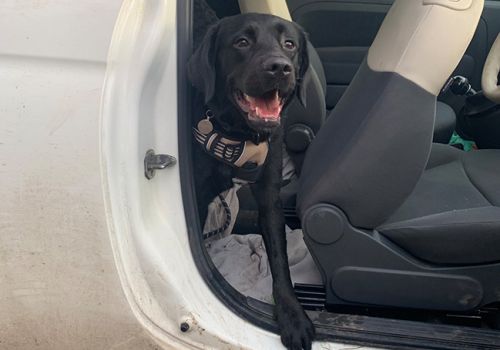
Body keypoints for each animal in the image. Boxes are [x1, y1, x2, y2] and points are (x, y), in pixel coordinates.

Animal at [189, 13, 314, 350]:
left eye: (289, 44)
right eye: (242, 42)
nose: (280, 67)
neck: (239, 132)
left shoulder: (270, 197)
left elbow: (280, 260)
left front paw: (293, 316)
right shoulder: (198, 195)